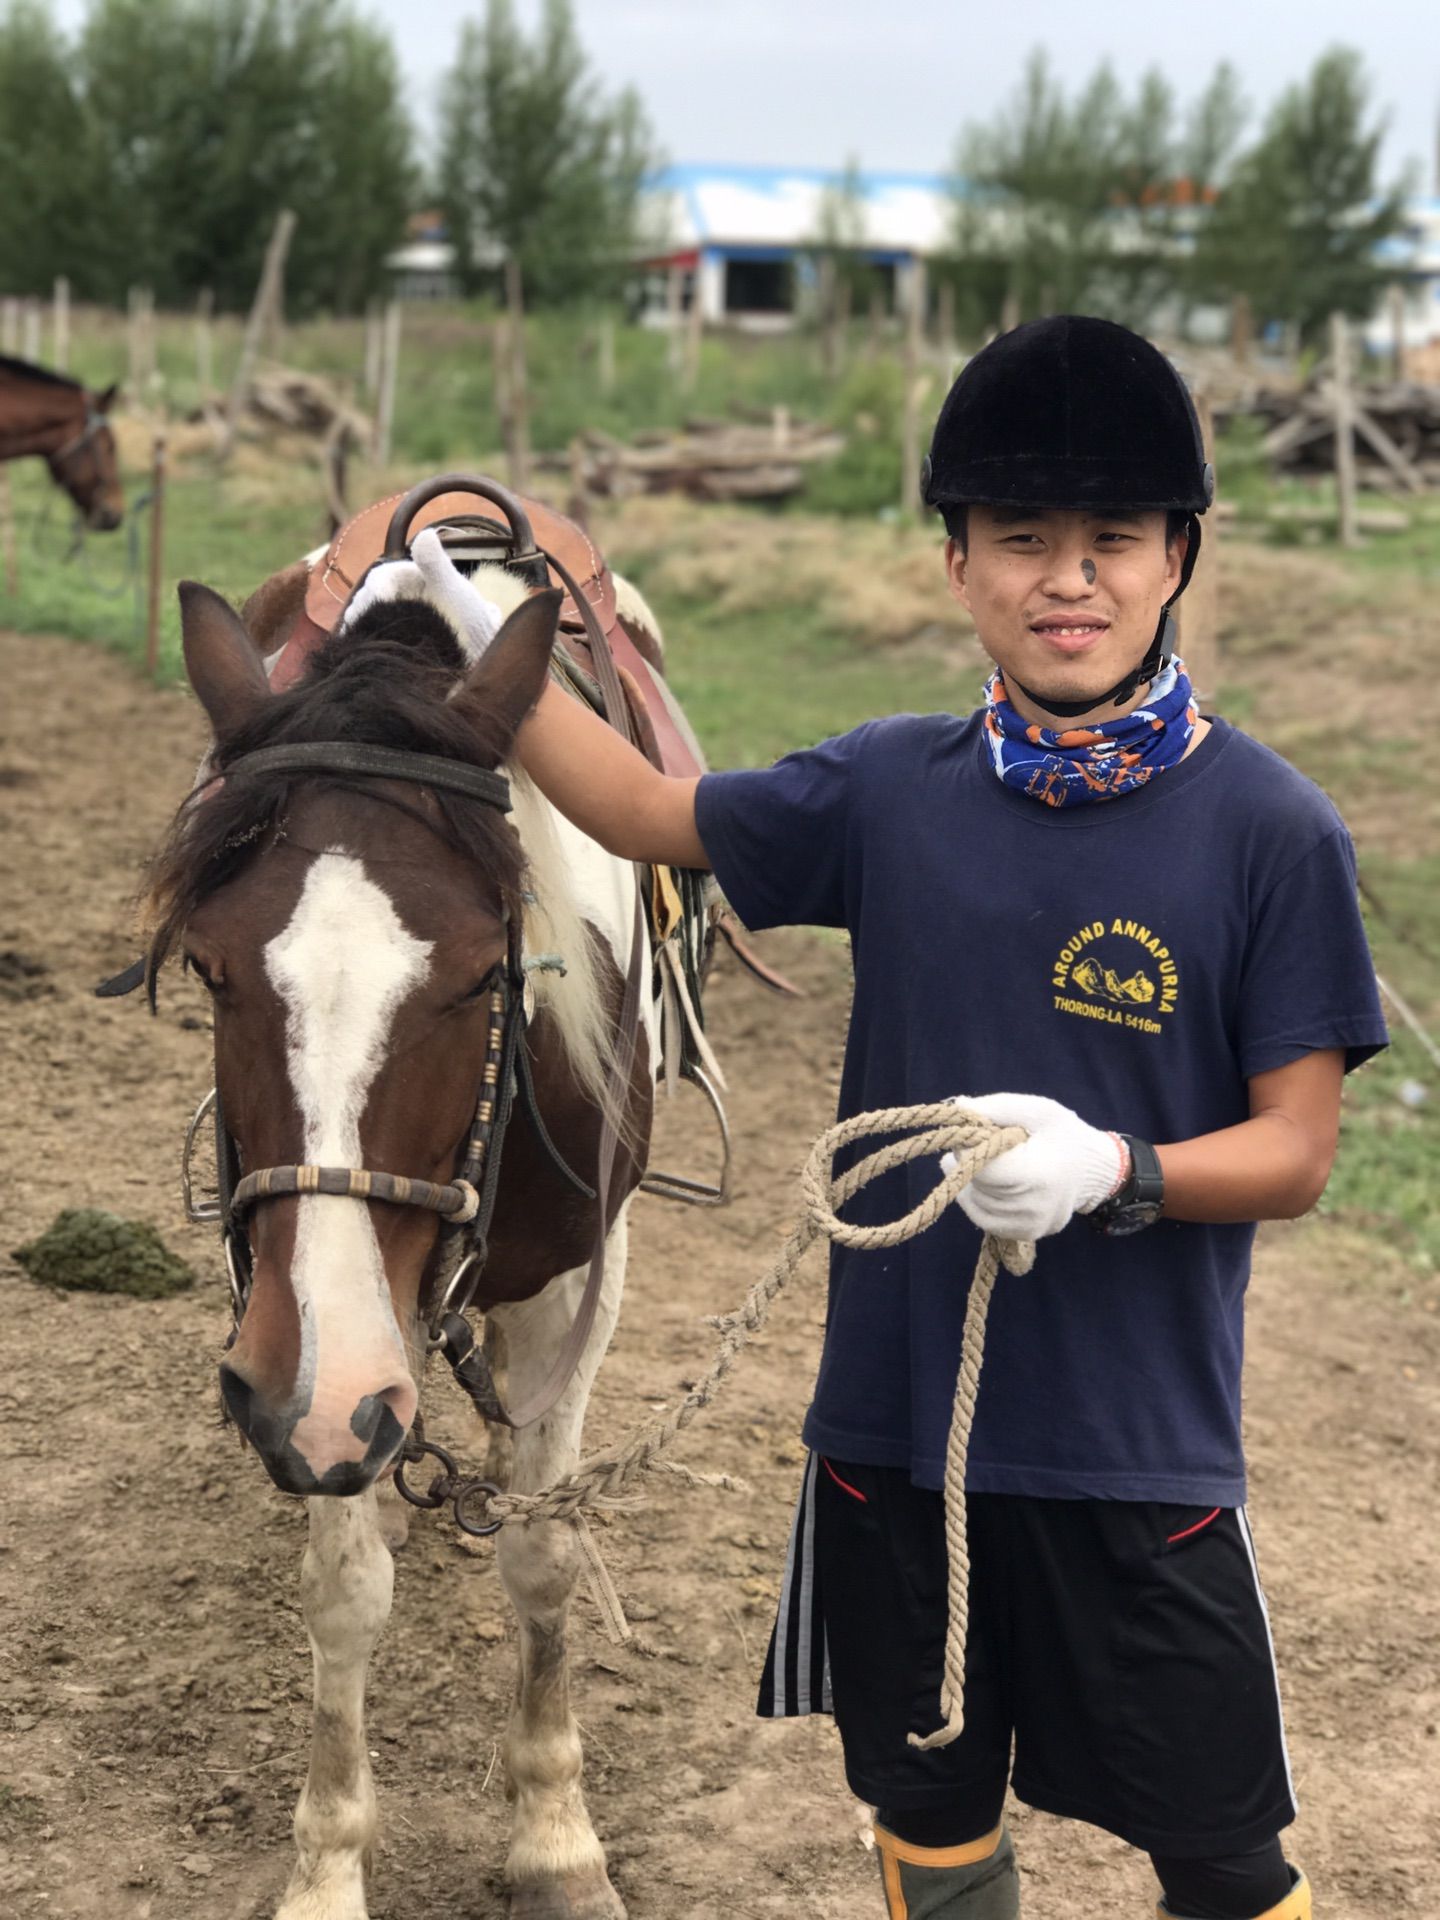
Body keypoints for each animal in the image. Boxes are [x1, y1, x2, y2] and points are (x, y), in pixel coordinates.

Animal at [146, 560, 664, 1912]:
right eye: (210, 969)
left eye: (486, 975)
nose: (323, 1397)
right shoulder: (305, 1352)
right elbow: (343, 1589)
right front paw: (328, 1864)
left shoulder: (579, 1281)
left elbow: (541, 1550)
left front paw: (555, 1834)